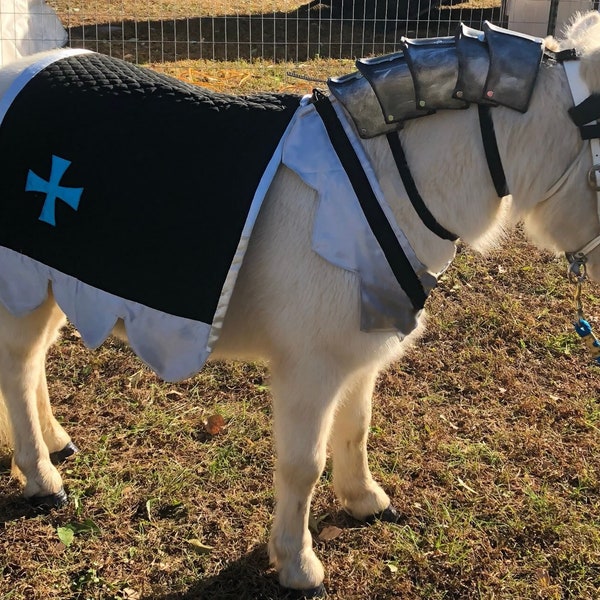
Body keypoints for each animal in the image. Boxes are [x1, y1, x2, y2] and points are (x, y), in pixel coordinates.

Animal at [0, 10, 596, 600]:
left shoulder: (360, 351)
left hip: (48, 287)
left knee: (34, 365)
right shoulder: (309, 370)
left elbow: (356, 428)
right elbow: (302, 464)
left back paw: (55, 442)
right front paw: (297, 561)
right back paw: (41, 477)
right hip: (21, 292)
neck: (386, 184)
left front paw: (363, 500)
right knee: (18, 369)